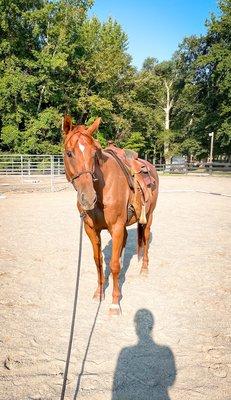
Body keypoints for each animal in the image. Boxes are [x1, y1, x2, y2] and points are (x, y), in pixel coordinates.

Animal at [62, 114, 158, 314]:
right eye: (69, 153)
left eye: (94, 153)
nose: (87, 198)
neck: (101, 190)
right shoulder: (91, 230)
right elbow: (99, 261)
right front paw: (99, 293)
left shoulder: (117, 227)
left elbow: (113, 265)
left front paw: (114, 303)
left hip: (148, 218)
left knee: (145, 240)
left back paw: (144, 269)